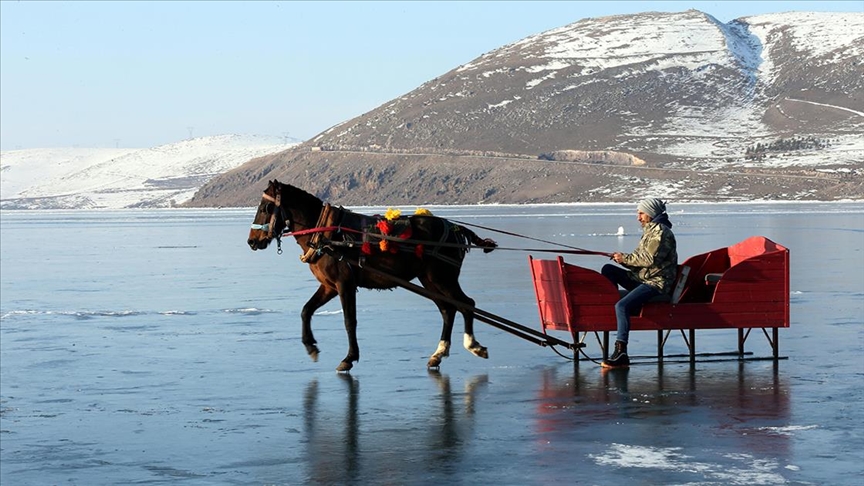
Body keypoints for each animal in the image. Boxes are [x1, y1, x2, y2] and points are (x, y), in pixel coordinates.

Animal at [246, 179, 496, 372]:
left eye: (265, 208)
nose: (251, 241)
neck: (324, 233)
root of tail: (455, 228)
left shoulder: (344, 283)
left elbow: (349, 321)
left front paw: (349, 358)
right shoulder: (329, 286)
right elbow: (306, 310)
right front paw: (311, 346)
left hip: (442, 277)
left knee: (466, 304)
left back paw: (473, 345)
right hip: (429, 279)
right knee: (448, 309)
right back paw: (438, 353)